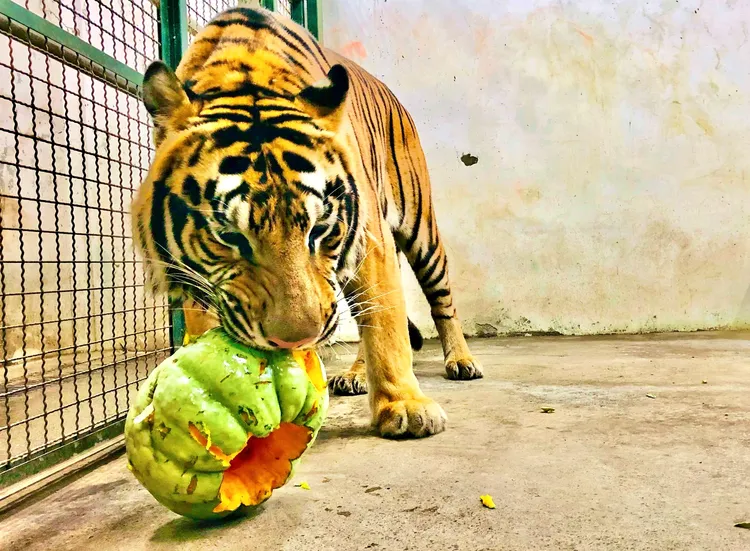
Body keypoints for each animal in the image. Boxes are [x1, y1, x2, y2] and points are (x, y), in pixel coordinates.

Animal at [131, 6, 482, 439]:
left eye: (318, 229)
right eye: (229, 236)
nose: (294, 340)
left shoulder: (371, 239)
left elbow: (386, 325)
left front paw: (404, 405)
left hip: (421, 230)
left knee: (440, 301)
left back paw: (461, 361)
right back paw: (355, 373)